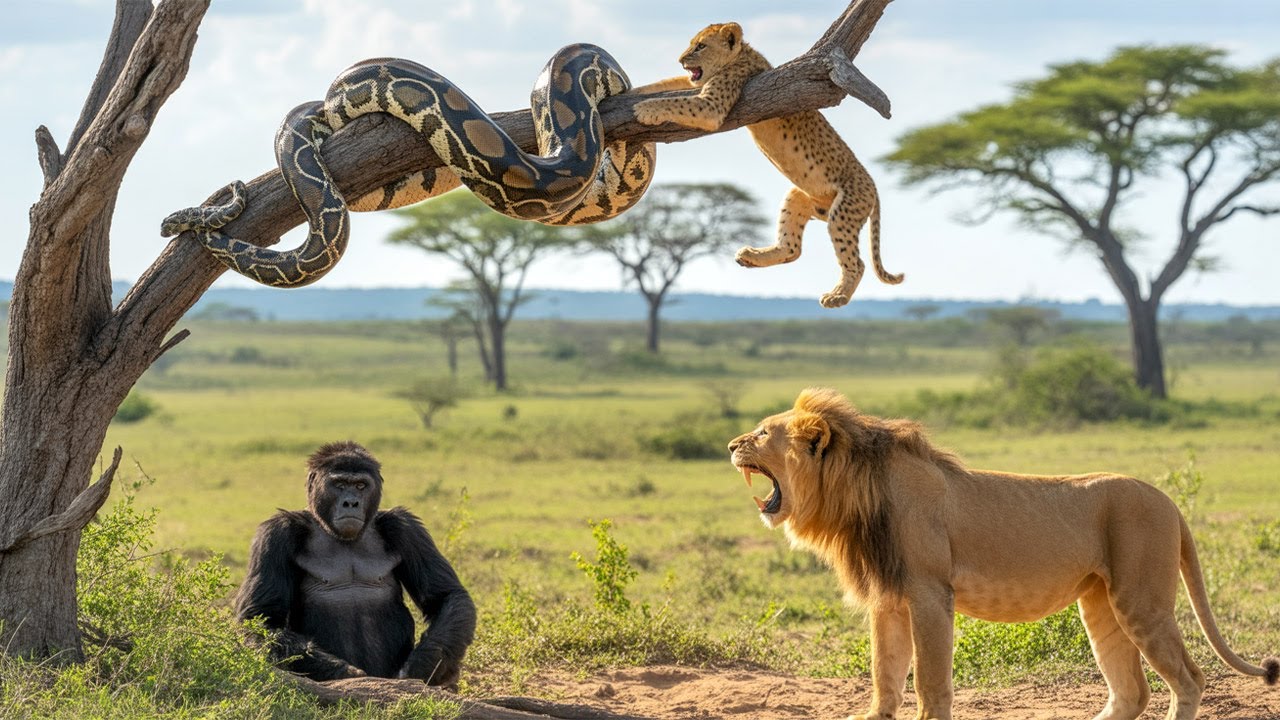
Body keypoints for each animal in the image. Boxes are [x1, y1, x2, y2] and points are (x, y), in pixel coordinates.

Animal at [727, 388, 1278, 720]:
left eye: (762, 433)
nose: (731, 445)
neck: (855, 495)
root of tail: (1167, 499)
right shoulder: (888, 598)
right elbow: (885, 674)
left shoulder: (929, 592)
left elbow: (930, 678)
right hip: (1101, 603)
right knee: (1131, 690)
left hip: (1142, 600)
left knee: (1189, 678)